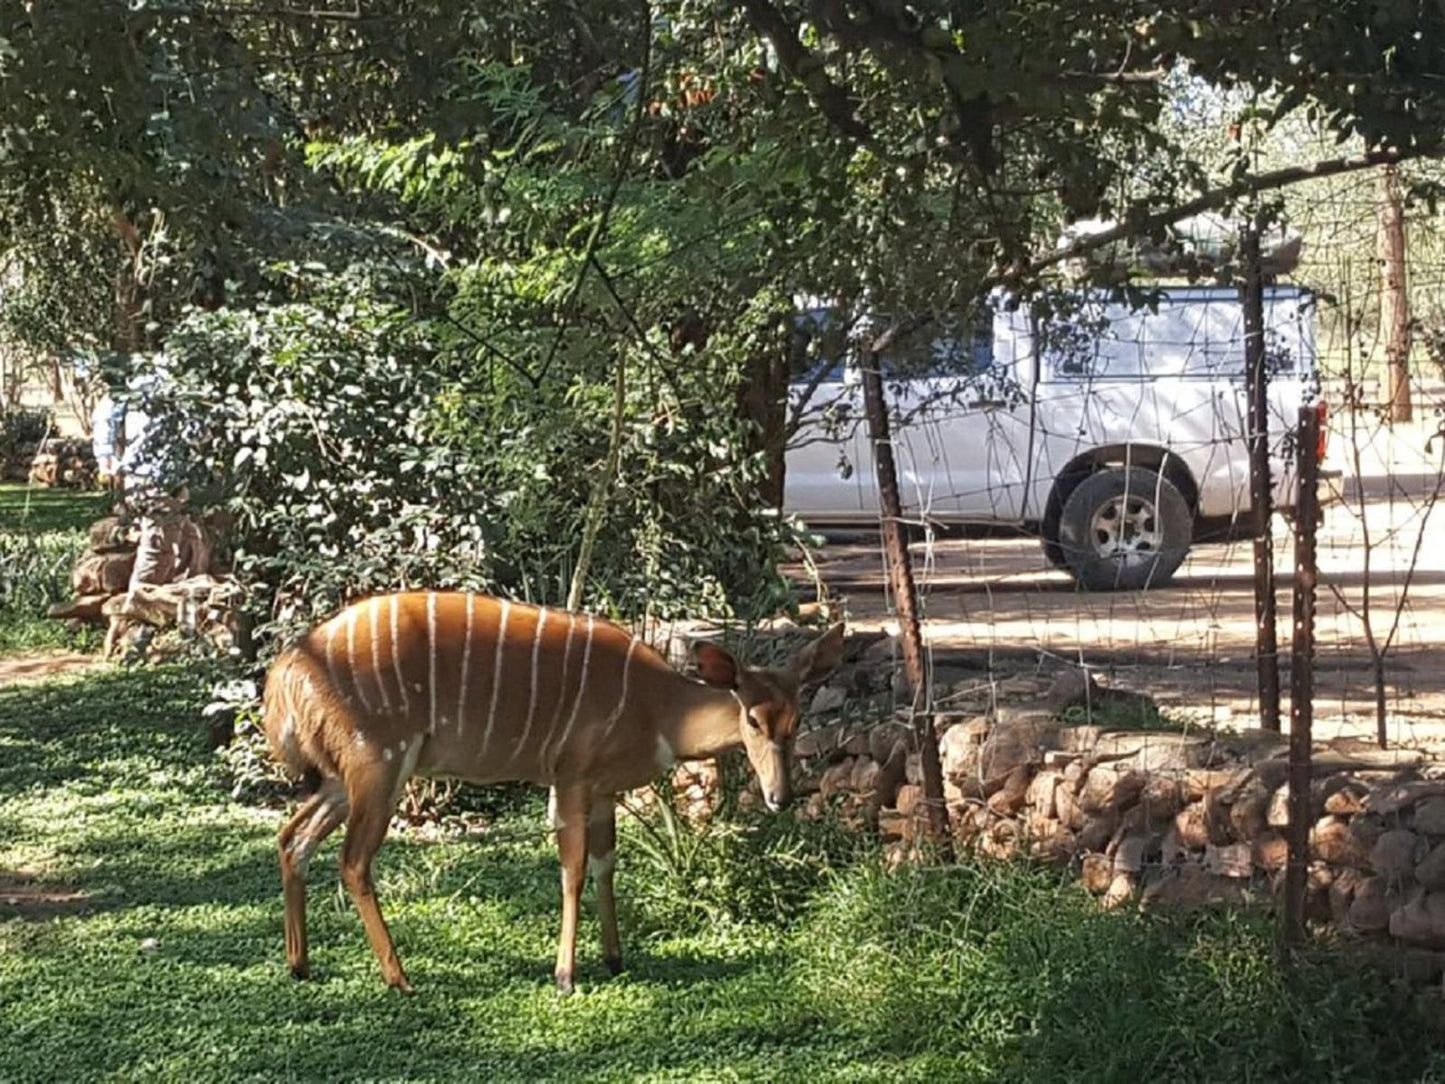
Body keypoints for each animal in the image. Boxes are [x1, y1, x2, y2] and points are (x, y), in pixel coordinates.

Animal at [265, 595, 843, 994]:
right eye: (752, 719)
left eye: (797, 720)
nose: (780, 797)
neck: (657, 709)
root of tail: (285, 675)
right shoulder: (571, 777)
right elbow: (573, 868)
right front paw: (566, 975)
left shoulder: (606, 790)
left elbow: (607, 863)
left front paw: (614, 958)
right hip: (380, 765)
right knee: (353, 860)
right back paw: (399, 978)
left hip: (345, 778)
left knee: (292, 838)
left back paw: (300, 965)